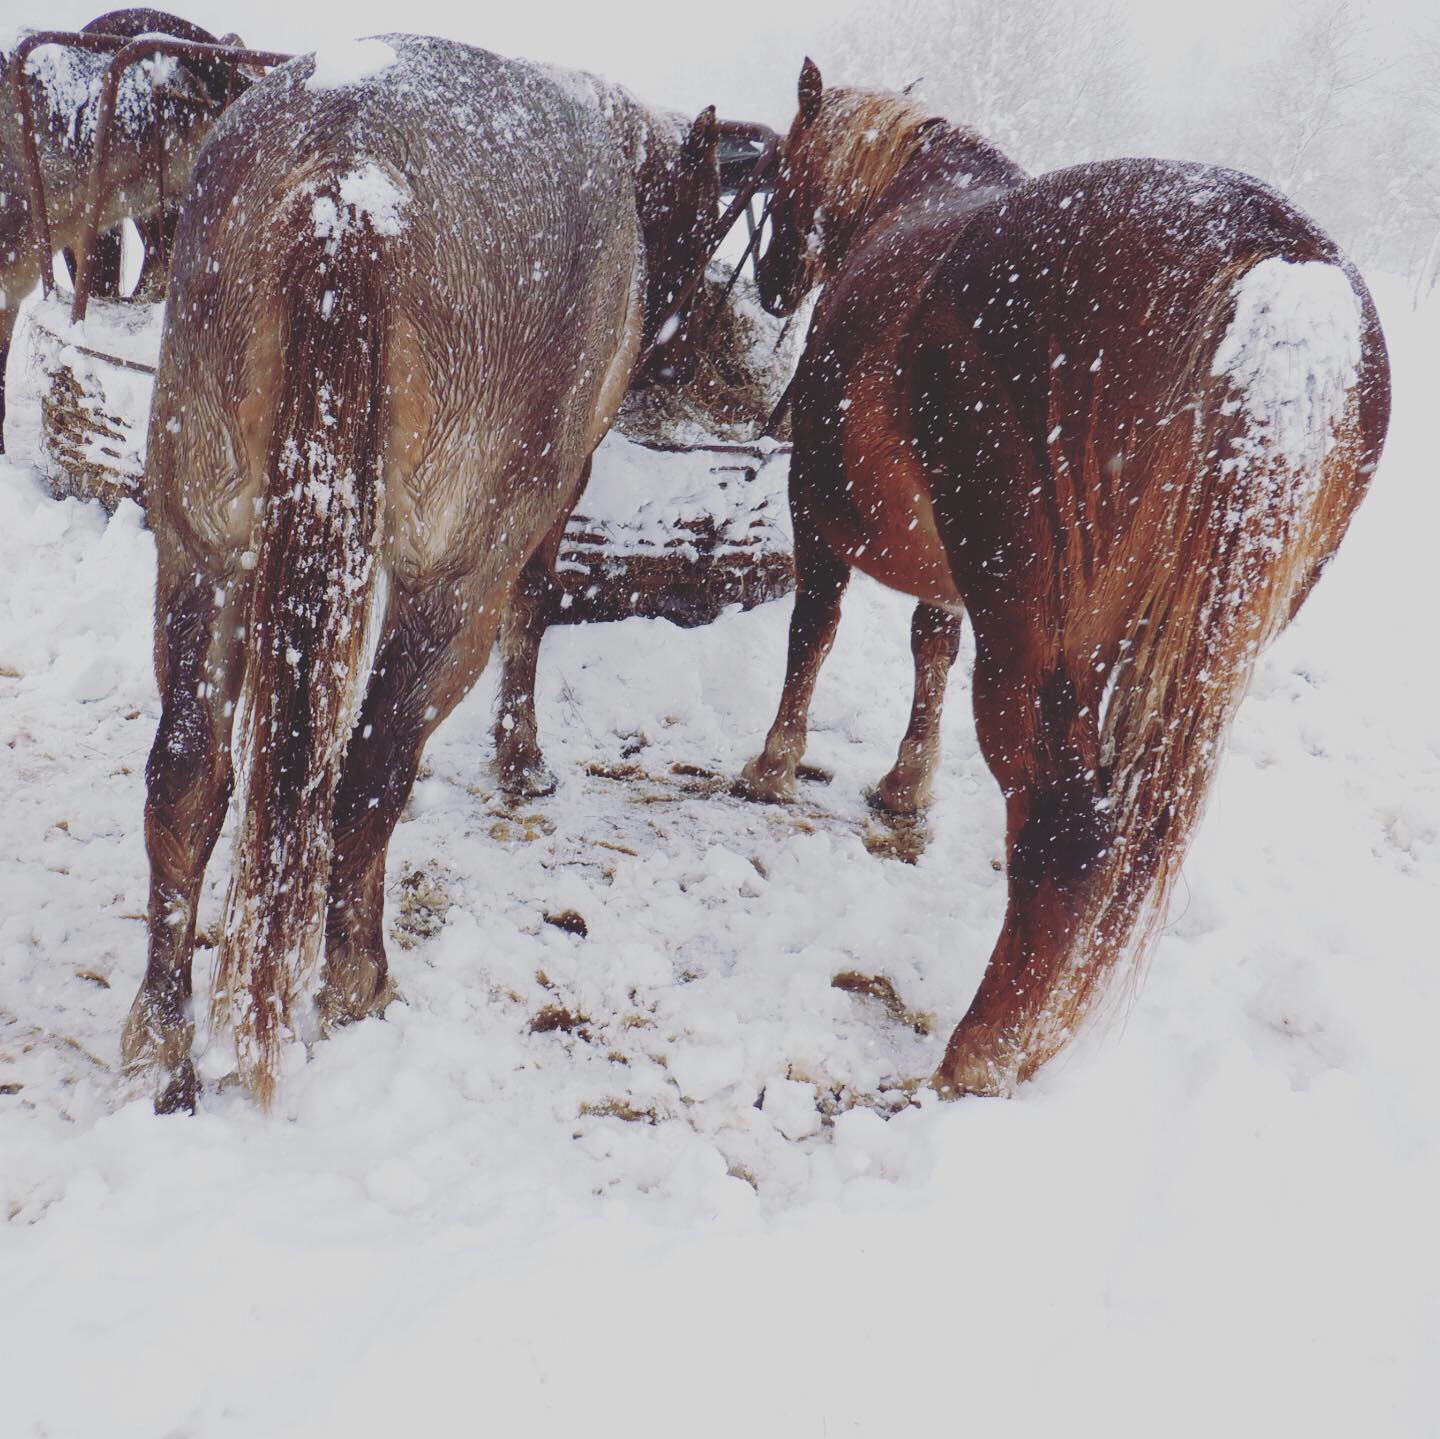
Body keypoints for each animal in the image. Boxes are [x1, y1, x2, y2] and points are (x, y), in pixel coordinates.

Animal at [123, 36, 720, 1112]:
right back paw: (357, 981)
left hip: (202, 553)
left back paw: (169, 1048)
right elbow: (536, 604)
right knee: (369, 770)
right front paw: (523, 758)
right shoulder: (553, 494)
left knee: (186, 773)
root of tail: (346, 189)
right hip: (450, 584)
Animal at [737, 53, 1388, 1088]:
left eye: (782, 174)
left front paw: (775, 763)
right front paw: (906, 785)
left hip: (1035, 628)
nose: (768, 284)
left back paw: (984, 1051)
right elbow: (930, 648)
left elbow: (814, 632)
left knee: (1065, 822)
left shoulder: (817, 515)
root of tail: (1279, 267)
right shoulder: (946, 577)